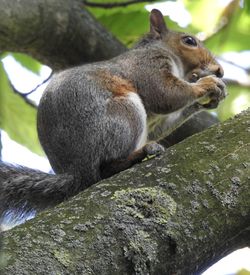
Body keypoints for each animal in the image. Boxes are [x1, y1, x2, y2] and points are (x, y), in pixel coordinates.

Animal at [0, 9, 227, 220]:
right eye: (189, 41)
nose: (220, 71)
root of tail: (77, 173)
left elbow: (161, 125)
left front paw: (209, 99)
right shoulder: (148, 65)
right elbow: (164, 94)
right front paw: (206, 84)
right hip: (124, 115)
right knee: (106, 168)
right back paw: (140, 153)